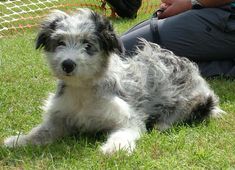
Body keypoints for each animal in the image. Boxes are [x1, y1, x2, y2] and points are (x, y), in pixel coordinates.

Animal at [3, 8, 224, 154]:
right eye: (60, 42)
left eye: (87, 44)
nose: (67, 64)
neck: (83, 90)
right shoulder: (60, 116)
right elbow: (41, 132)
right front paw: (18, 140)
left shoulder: (128, 116)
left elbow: (126, 131)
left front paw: (114, 147)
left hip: (194, 99)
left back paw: (163, 123)